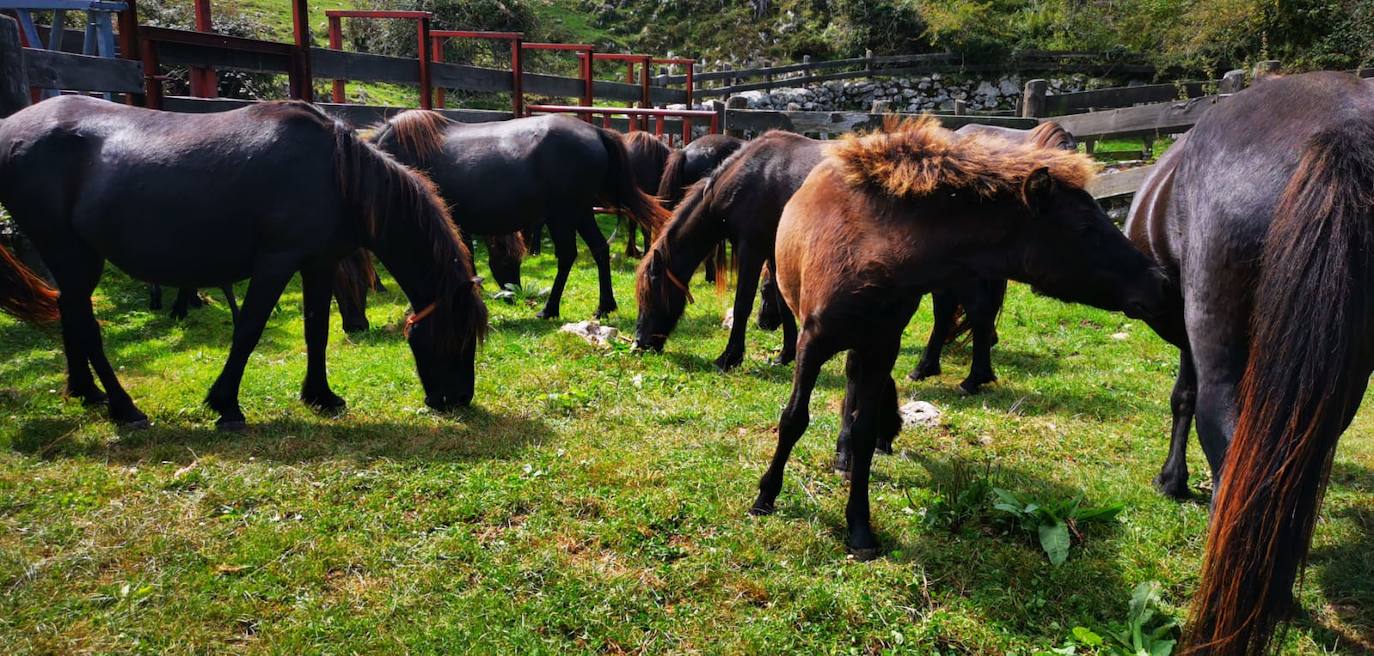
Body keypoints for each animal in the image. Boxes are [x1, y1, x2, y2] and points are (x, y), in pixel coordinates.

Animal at [0, 94, 489, 426]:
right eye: (457, 336)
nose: (458, 399)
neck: (334, 173)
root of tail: (11, 126)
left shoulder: (317, 264)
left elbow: (317, 331)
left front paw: (321, 396)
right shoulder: (275, 263)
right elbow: (249, 330)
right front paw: (226, 403)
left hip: (72, 258)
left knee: (70, 312)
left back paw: (87, 393)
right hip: (70, 252)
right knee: (85, 324)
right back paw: (124, 407)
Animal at [370, 110, 670, 319]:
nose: (514, 292)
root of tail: (596, 132)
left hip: (563, 216)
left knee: (567, 256)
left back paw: (550, 309)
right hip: (581, 213)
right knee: (598, 249)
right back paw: (604, 306)